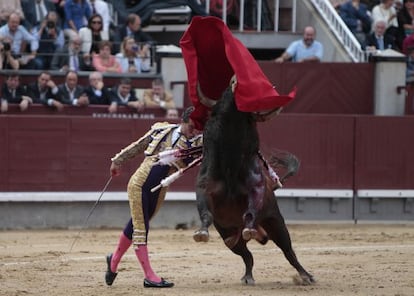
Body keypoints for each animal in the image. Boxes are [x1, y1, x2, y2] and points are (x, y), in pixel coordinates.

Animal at [192, 85, 316, 284]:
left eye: (246, 118)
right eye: (215, 114)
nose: (233, 84)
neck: (230, 166)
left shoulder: (255, 188)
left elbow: (250, 211)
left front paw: (248, 226)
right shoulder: (204, 188)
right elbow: (206, 213)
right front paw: (201, 233)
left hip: (276, 224)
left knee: (288, 251)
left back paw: (306, 276)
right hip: (229, 235)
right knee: (246, 255)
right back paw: (248, 276)